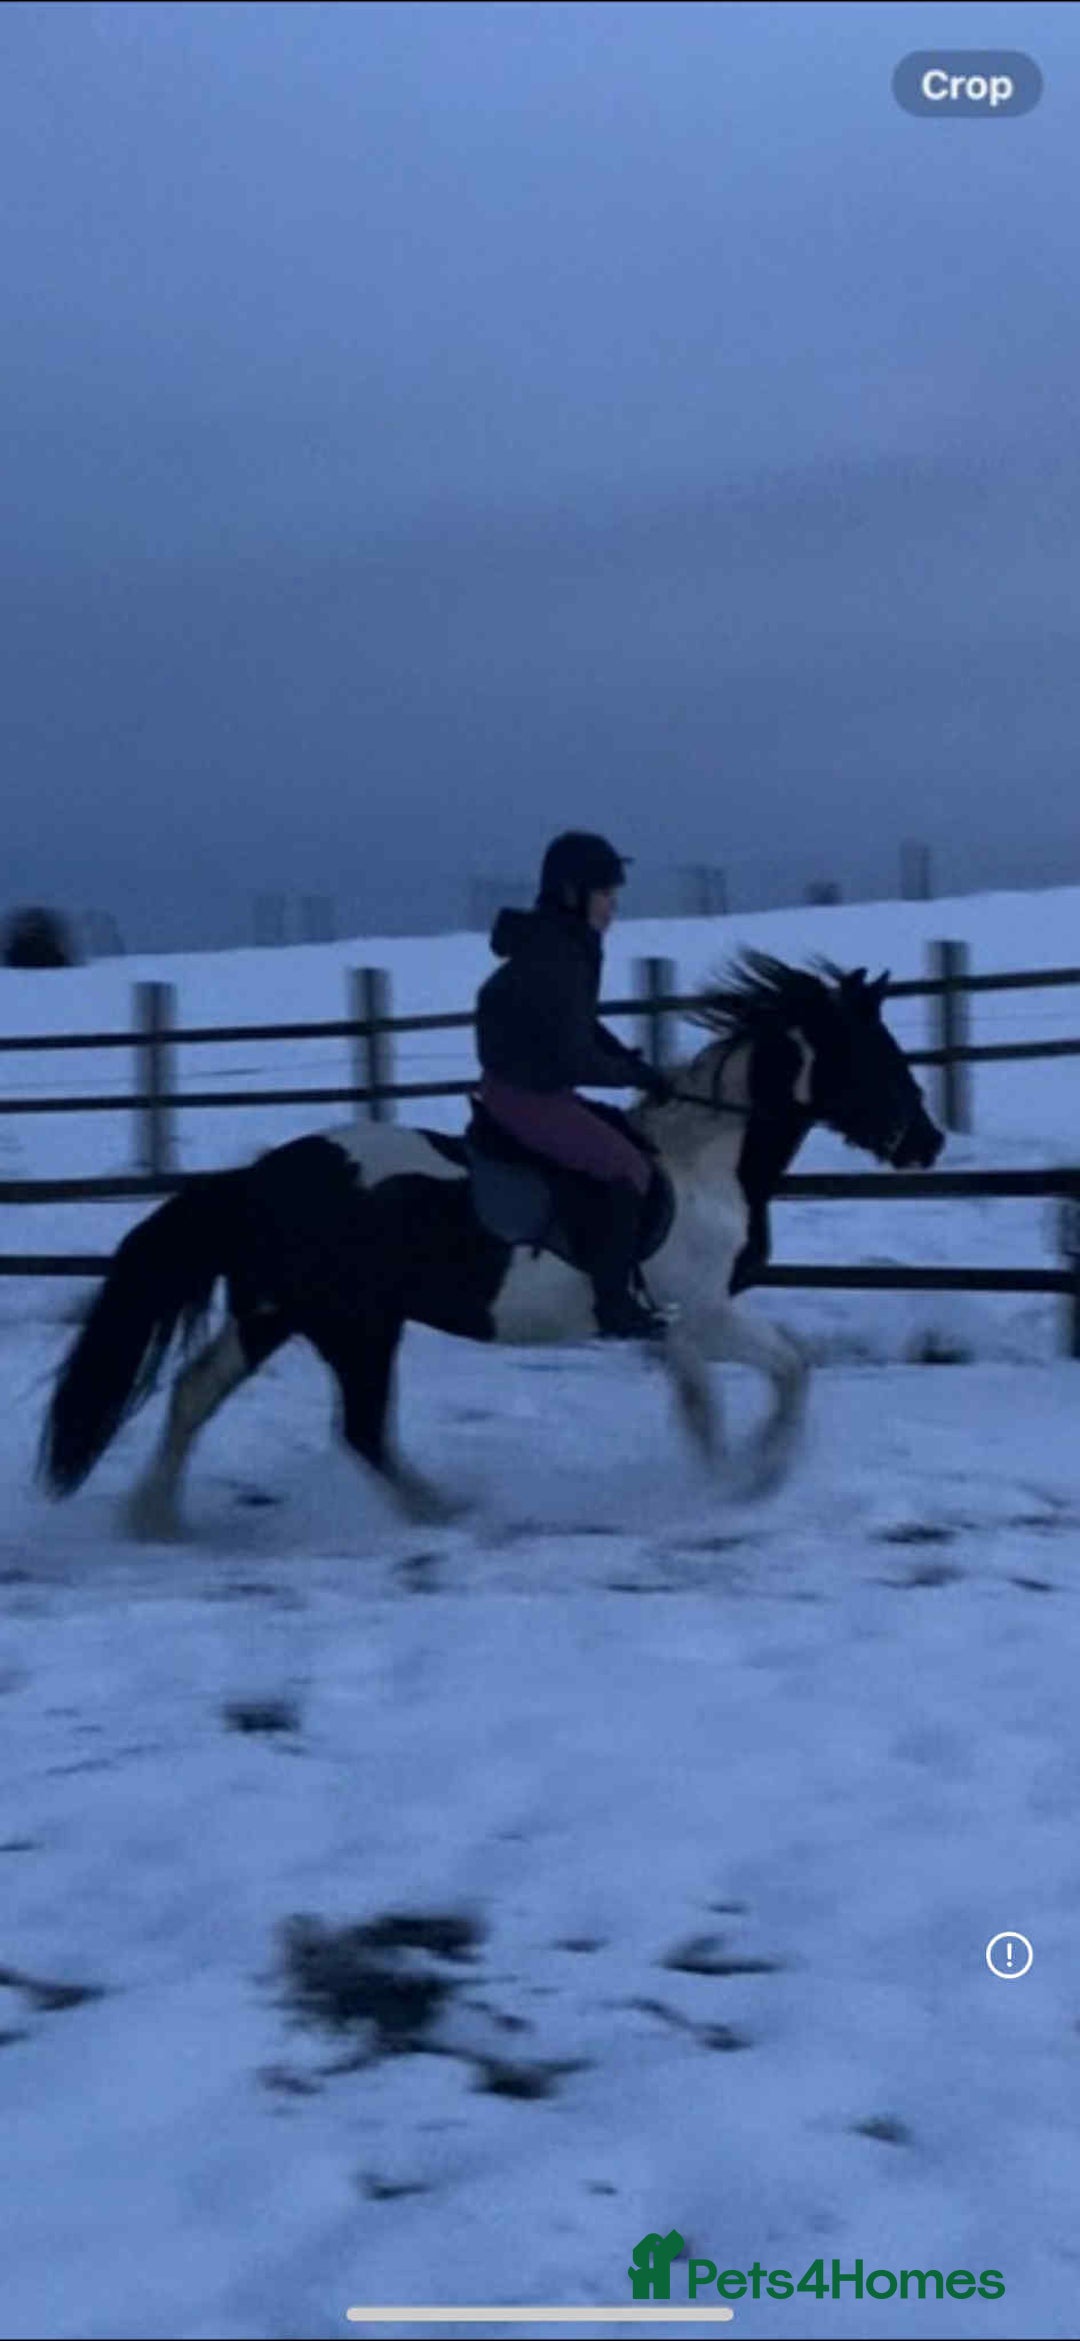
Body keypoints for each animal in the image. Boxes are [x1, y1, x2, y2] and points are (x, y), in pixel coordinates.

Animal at [39, 952, 944, 1538]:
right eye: (877, 1055)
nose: (927, 1141)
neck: (702, 1166)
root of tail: (254, 1179)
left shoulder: (679, 1324)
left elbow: (703, 1406)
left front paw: (724, 1477)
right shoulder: (706, 1311)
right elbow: (792, 1367)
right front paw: (759, 1474)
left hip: (277, 1313)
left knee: (198, 1392)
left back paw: (158, 1519)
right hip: (358, 1327)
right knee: (360, 1428)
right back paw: (447, 1513)